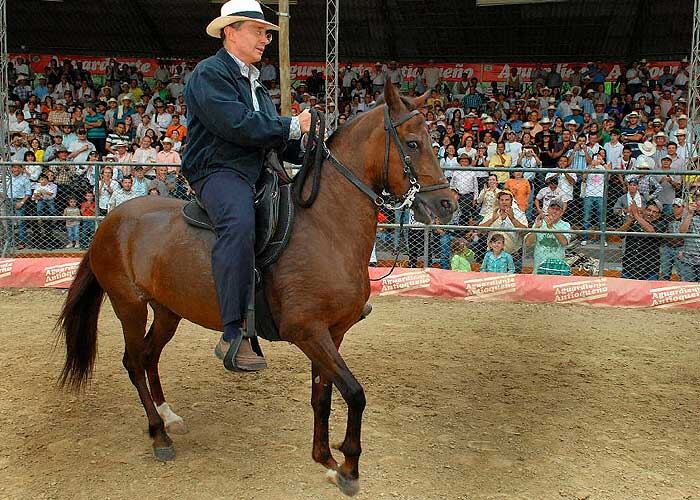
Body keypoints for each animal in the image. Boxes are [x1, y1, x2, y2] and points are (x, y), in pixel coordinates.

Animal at [56, 81, 457, 497]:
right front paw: (348, 468)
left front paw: (325, 460)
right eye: (412, 143)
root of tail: (112, 220)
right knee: (134, 362)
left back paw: (169, 418)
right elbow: (354, 393)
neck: (325, 227)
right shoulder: (307, 332)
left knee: (150, 357)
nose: (447, 204)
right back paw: (158, 435)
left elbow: (323, 395)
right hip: (129, 306)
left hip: (168, 311)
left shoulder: (332, 334)